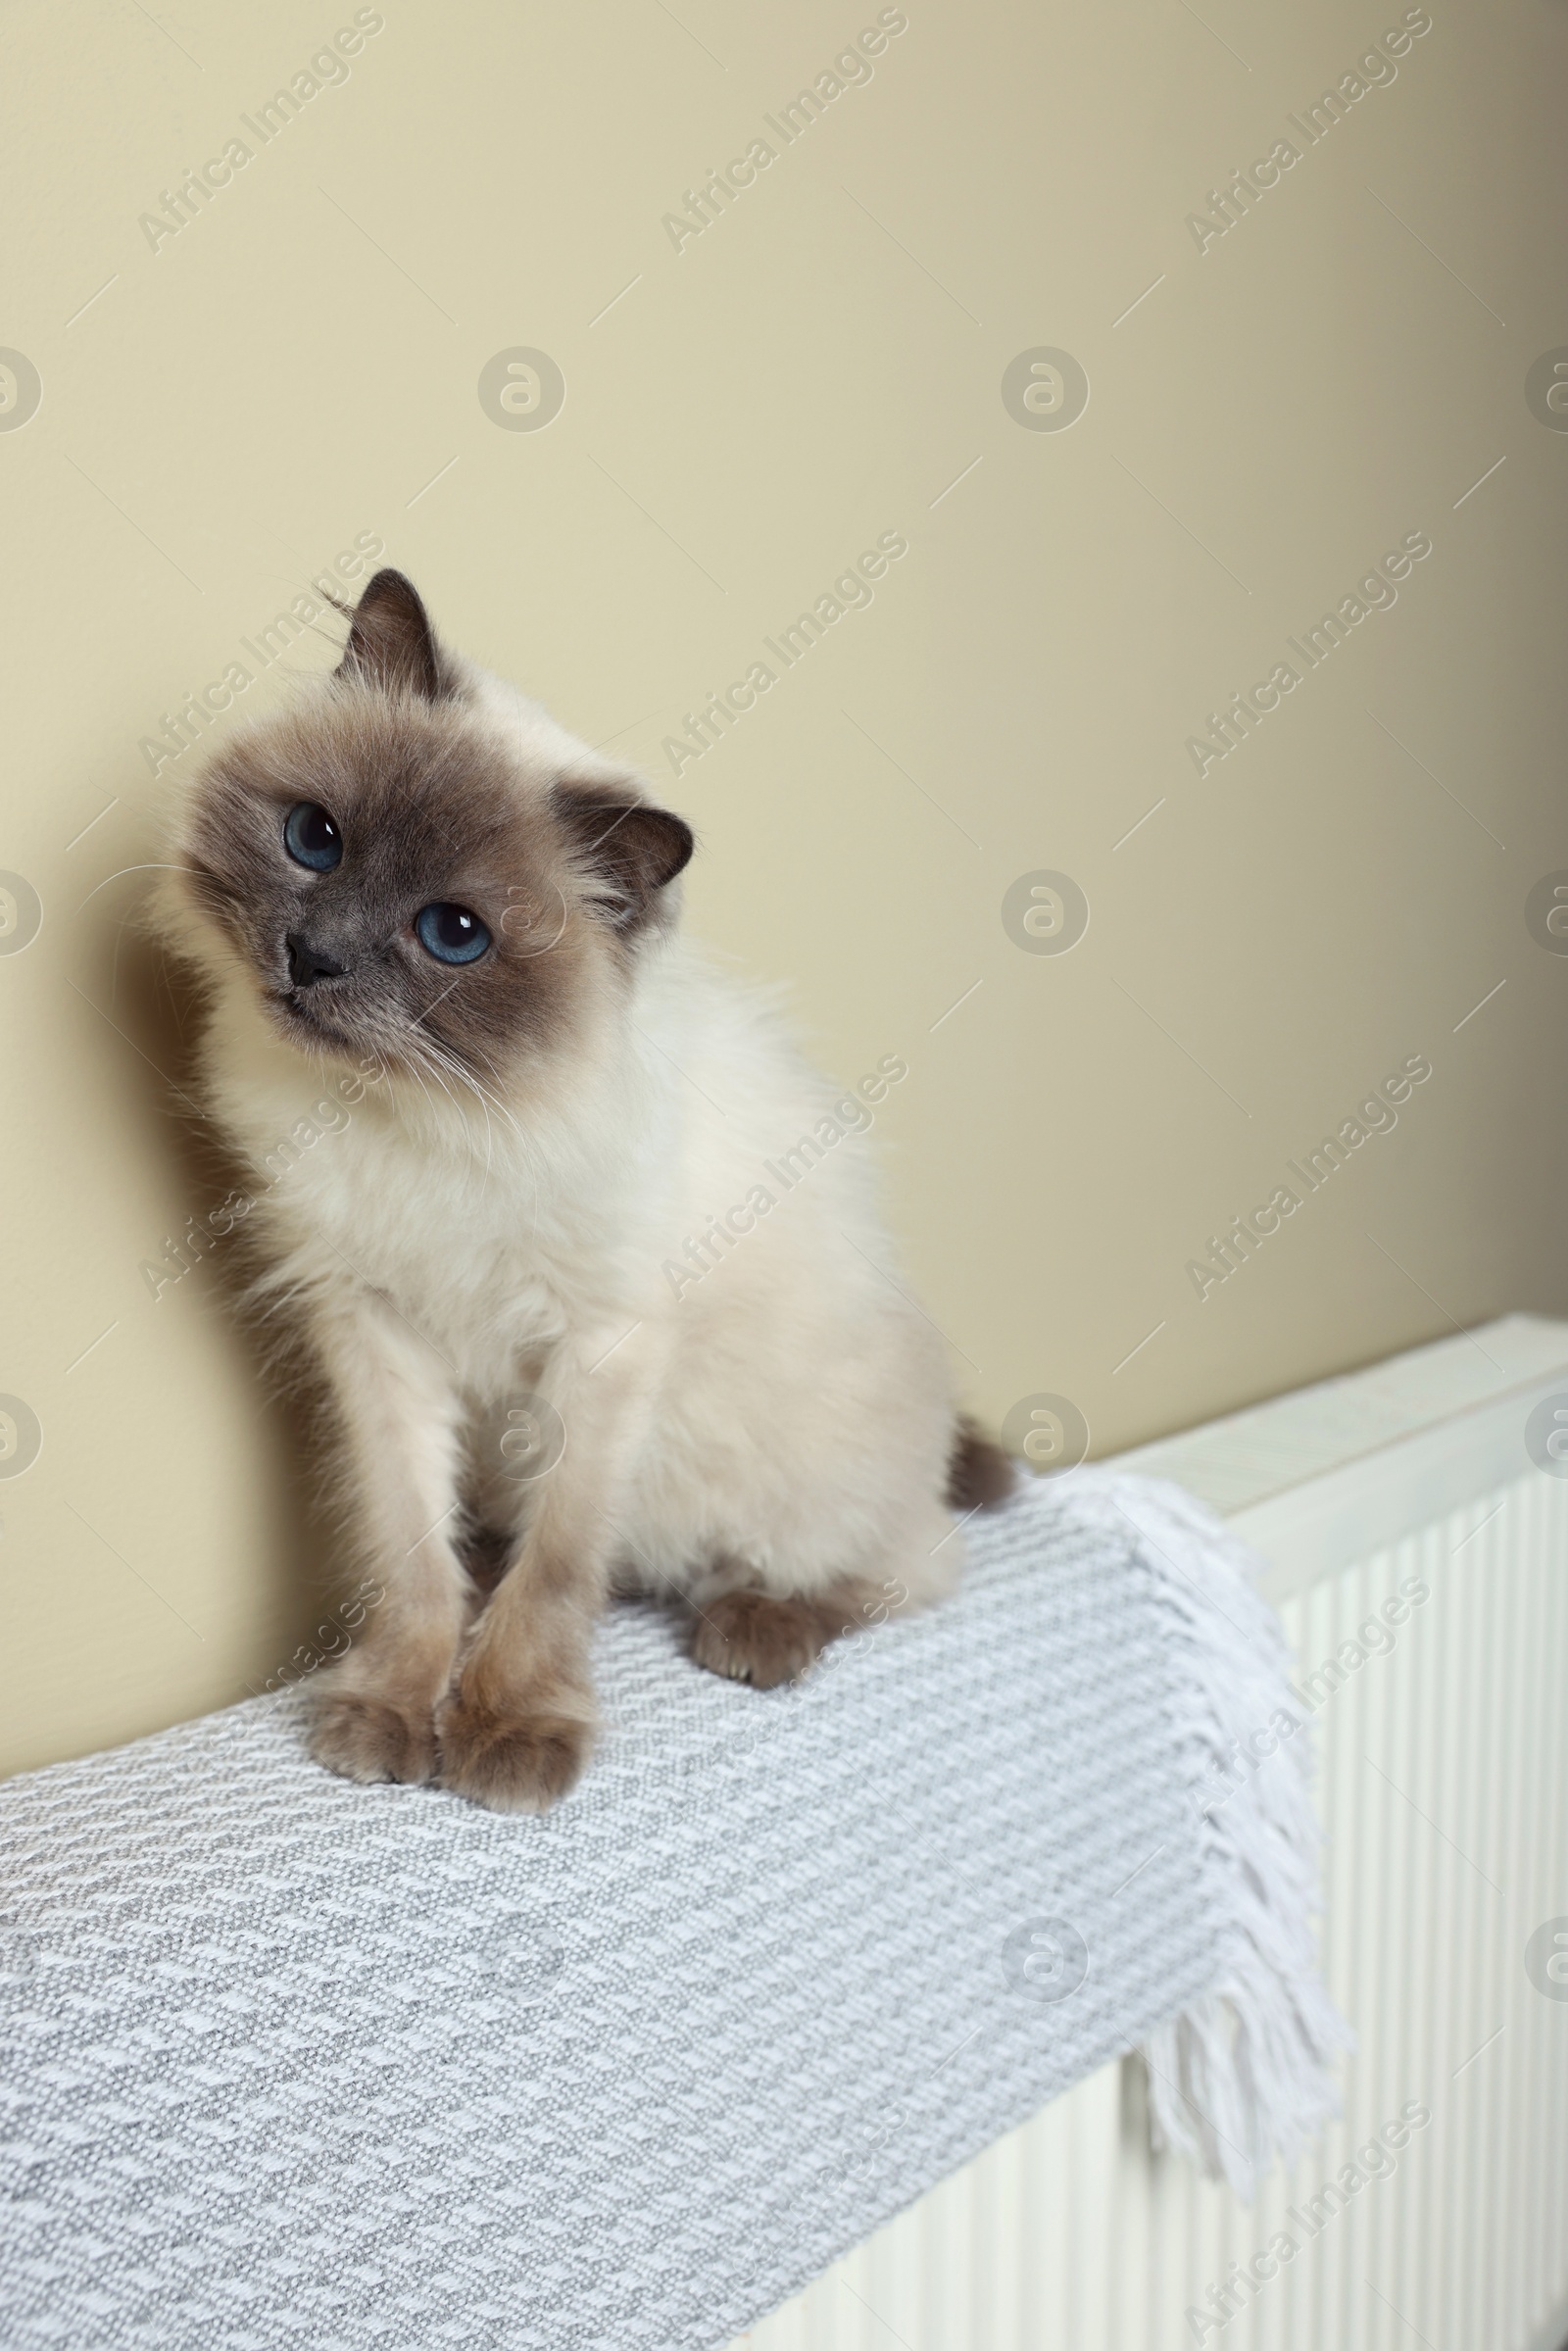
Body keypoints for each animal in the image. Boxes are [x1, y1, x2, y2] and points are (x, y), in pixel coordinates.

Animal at [160, 573, 1010, 1815]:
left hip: (803, 1481)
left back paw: (752, 1629)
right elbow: (412, 1552)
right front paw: (393, 1710)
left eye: (452, 934)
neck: (416, 1117)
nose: (312, 956)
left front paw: (509, 1732)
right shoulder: (374, 1327)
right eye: (314, 838)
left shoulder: (602, 1342)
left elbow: (557, 1570)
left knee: (900, 1566)